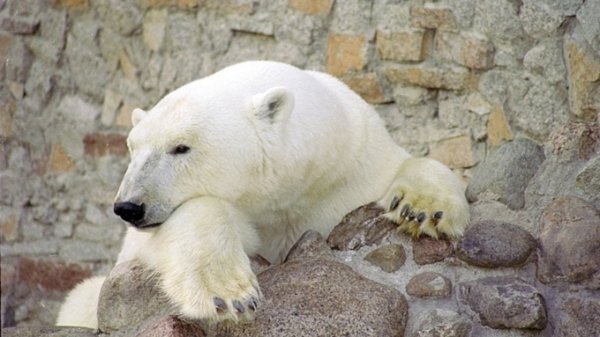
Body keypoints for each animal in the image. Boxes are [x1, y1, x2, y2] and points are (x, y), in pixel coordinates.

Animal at [56, 61, 468, 328]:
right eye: (132, 147)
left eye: (180, 147)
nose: (128, 207)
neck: (289, 192)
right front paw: (229, 295)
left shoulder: (351, 163)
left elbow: (404, 166)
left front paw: (423, 210)